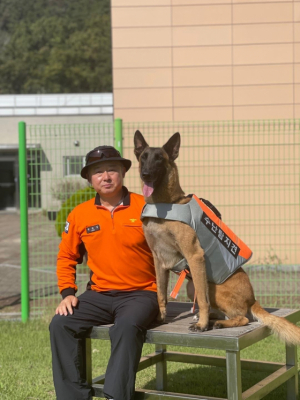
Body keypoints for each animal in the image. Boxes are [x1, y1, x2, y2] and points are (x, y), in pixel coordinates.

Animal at [134, 130, 300, 344]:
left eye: (159, 159)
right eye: (143, 158)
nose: (145, 174)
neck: (164, 205)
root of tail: (253, 299)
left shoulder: (194, 256)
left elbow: (203, 301)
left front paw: (202, 325)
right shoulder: (159, 259)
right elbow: (160, 294)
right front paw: (160, 318)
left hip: (209, 286)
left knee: (241, 317)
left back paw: (215, 322)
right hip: (191, 286)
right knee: (223, 312)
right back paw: (212, 319)